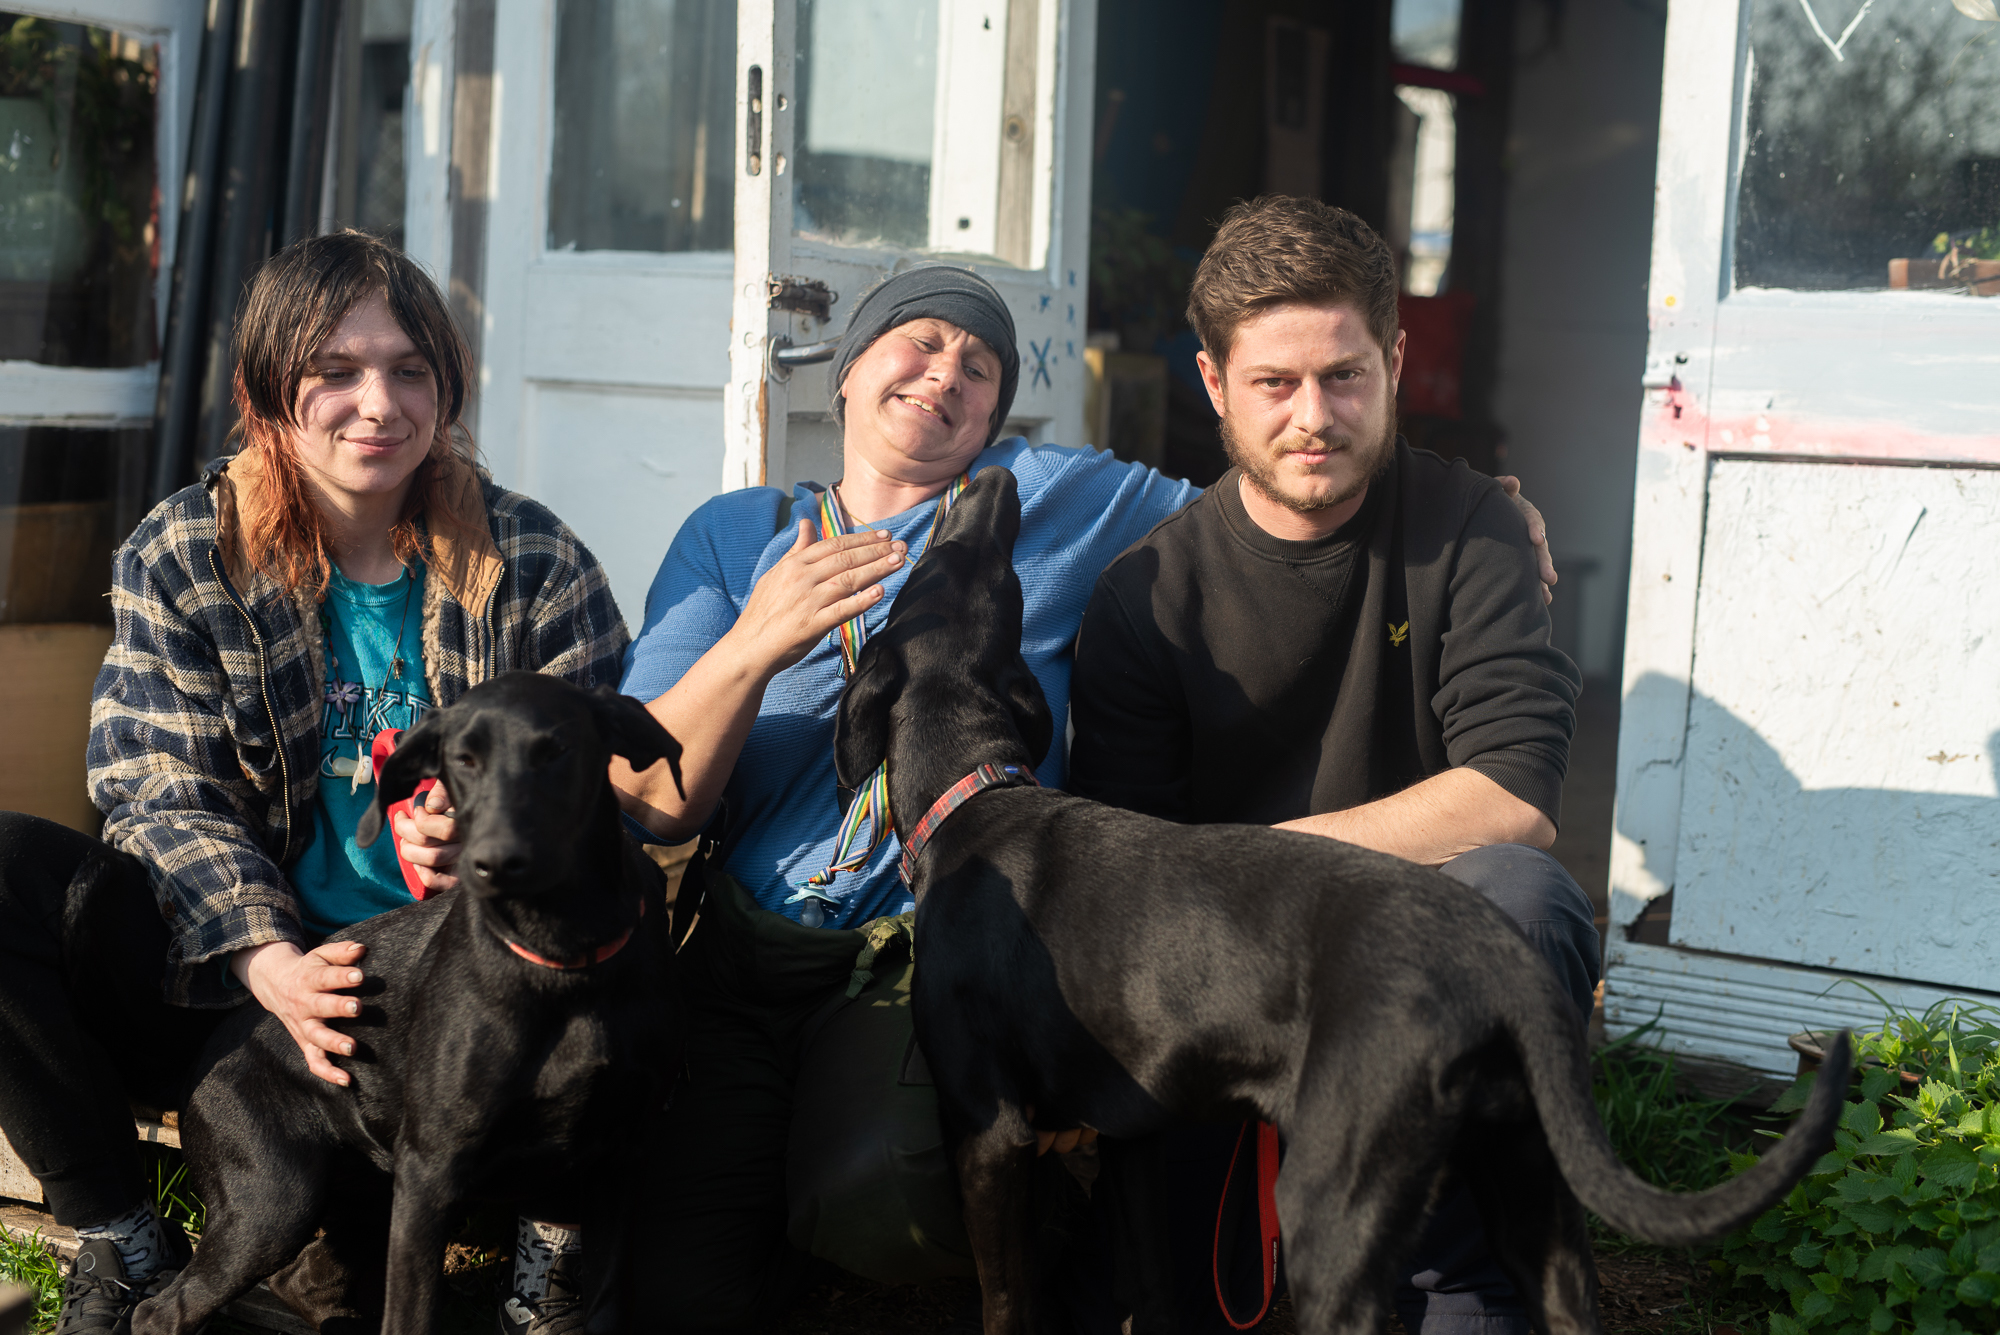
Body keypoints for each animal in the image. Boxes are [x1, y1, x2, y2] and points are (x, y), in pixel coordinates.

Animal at [132, 672, 684, 1335]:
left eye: (558, 750)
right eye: (462, 761)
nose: (495, 863)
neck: (559, 952)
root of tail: (205, 1058)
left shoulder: (617, 1167)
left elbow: (606, 1307)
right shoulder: (431, 1177)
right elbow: (411, 1316)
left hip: (360, 1199)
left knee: (304, 1284)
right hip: (274, 1201)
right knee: (161, 1312)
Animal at [832, 467, 1853, 1334]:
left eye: (938, 566)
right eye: (980, 572)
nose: (995, 479)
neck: (975, 788)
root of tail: (1499, 963)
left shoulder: (989, 1133)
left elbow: (1007, 1301)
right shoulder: (1136, 1140)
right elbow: (1153, 1292)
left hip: (1336, 1203)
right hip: (1535, 1205)